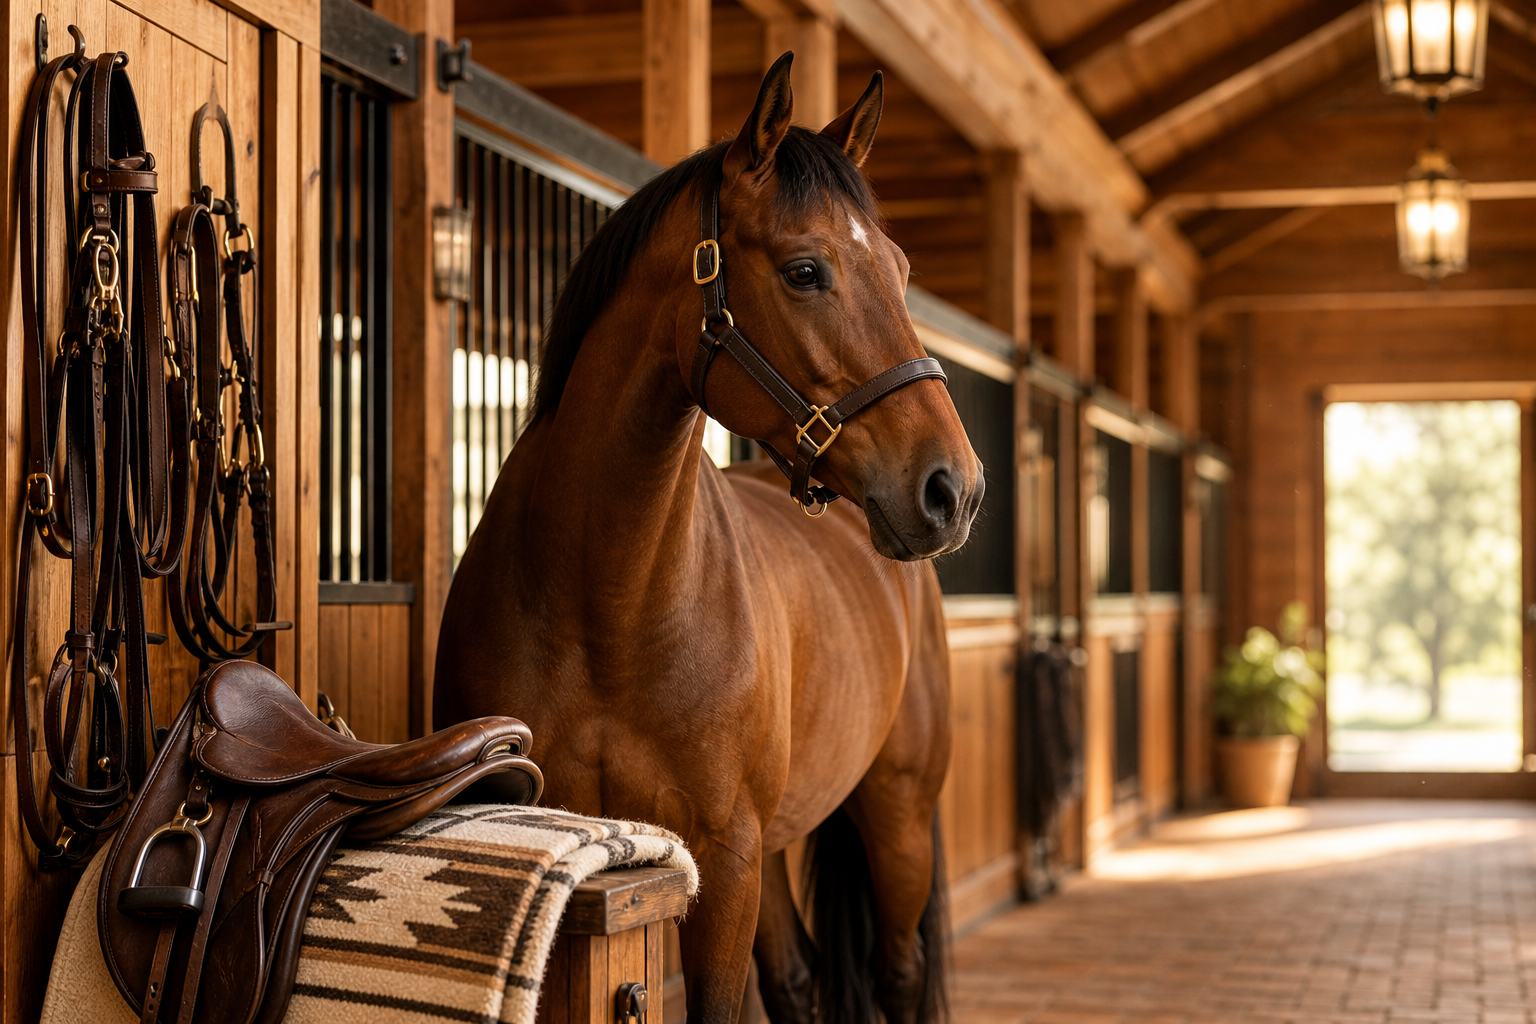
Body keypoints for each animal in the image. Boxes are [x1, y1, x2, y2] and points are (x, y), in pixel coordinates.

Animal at [435, 54, 983, 1024]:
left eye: (902, 267)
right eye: (805, 270)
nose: (954, 489)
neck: (611, 603)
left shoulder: (722, 864)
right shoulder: (619, 851)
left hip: (898, 815)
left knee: (900, 973)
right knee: (799, 979)